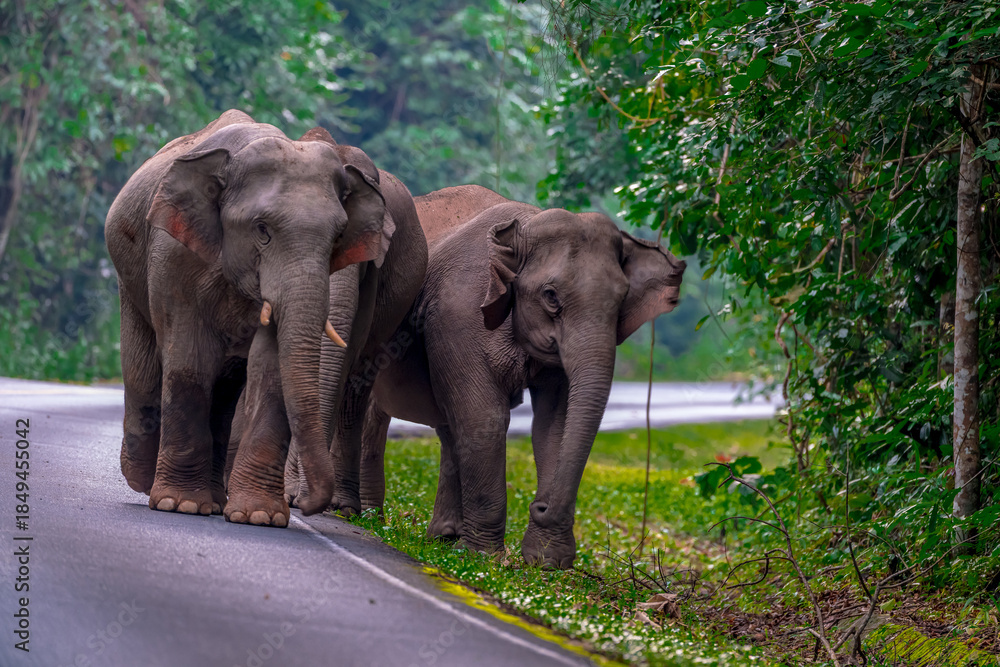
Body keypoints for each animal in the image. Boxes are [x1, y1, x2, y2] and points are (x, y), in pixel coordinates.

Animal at [105, 109, 392, 523]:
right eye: (262, 229)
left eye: (338, 237)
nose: (305, 504)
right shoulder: (174, 251)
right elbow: (190, 359)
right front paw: (180, 505)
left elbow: (272, 369)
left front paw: (260, 516)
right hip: (127, 269)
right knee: (143, 366)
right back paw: (143, 481)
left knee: (226, 389)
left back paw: (214, 500)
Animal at [225, 126, 428, 524]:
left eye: (344, 244)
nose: (302, 502)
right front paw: (285, 496)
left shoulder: (373, 280)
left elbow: (344, 358)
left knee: (358, 383)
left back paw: (345, 507)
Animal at [356, 184, 687, 568]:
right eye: (551, 296)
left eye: (621, 301)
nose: (540, 507)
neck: (525, 225)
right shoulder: (457, 313)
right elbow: (486, 417)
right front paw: (485, 558)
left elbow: (552, 424)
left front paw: (545, 561)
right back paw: (363, 516)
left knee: (447, 424)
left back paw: (443, 537)